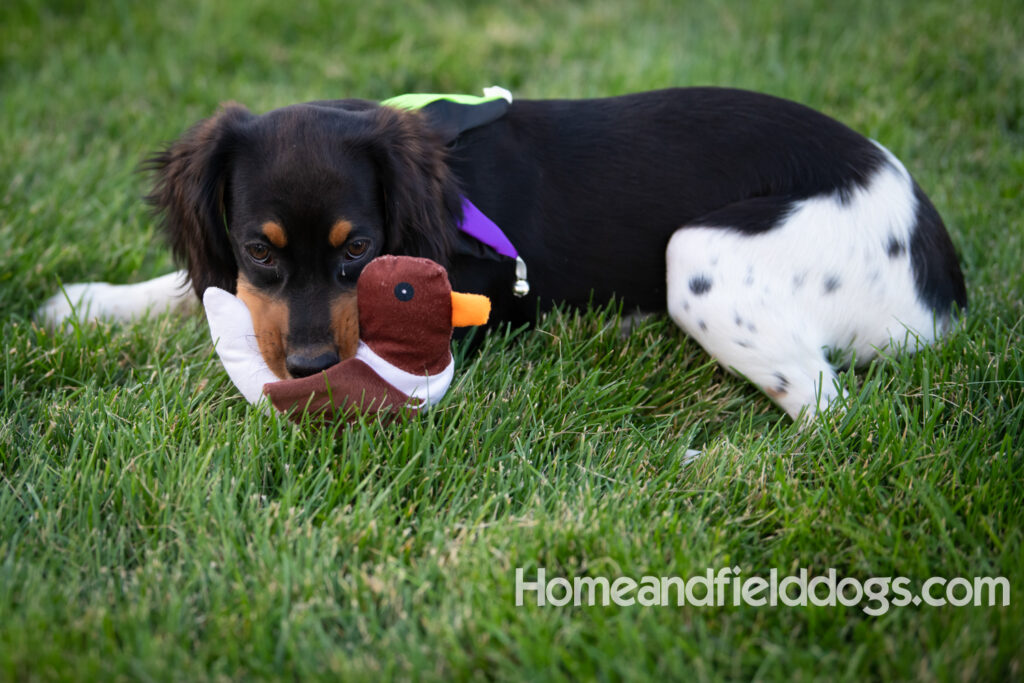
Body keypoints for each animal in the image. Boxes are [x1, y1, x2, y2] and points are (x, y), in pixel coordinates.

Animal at [37, 88, 966, 419]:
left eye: (360, 249)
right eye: (257, 252)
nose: (304, 367)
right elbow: (189, 285)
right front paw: (87, 303)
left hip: (699, 259)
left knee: (828, 404)